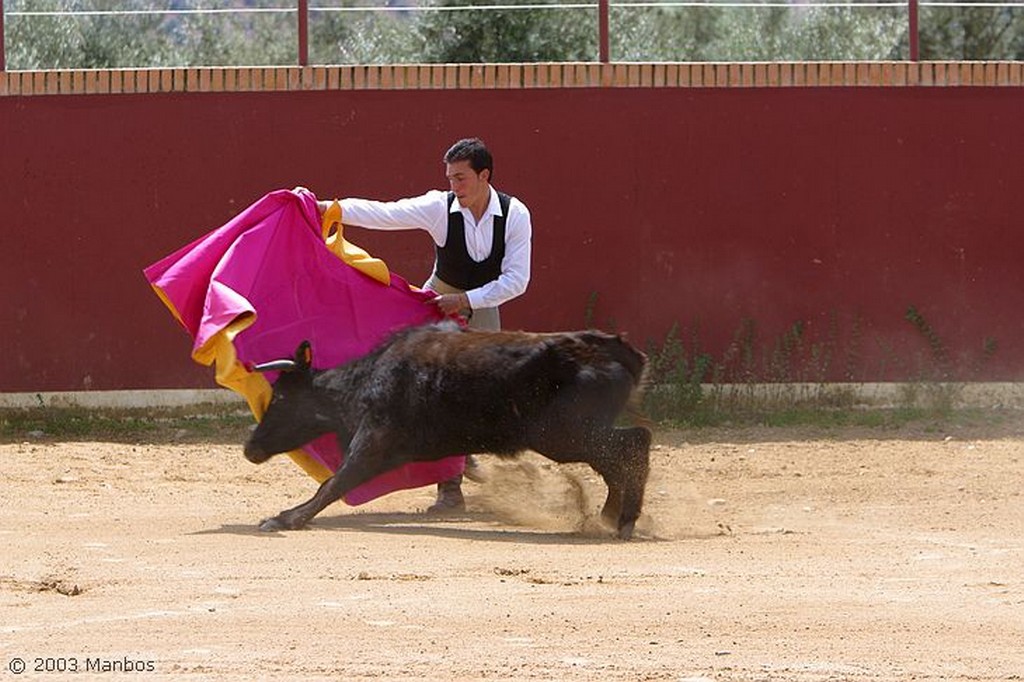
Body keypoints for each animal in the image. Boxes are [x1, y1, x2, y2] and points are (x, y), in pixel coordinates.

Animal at [243, 319, 651, 536]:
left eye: (280, 398)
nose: (250, 448)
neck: (365, 380)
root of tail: (617, 350)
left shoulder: (373, 442)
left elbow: (333, 483)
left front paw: (283, 518)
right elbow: (336, 482)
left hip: (565, 435)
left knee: (633, 445)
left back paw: (624, 521)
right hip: (575, 436)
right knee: (619, 458)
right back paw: (611, 517)